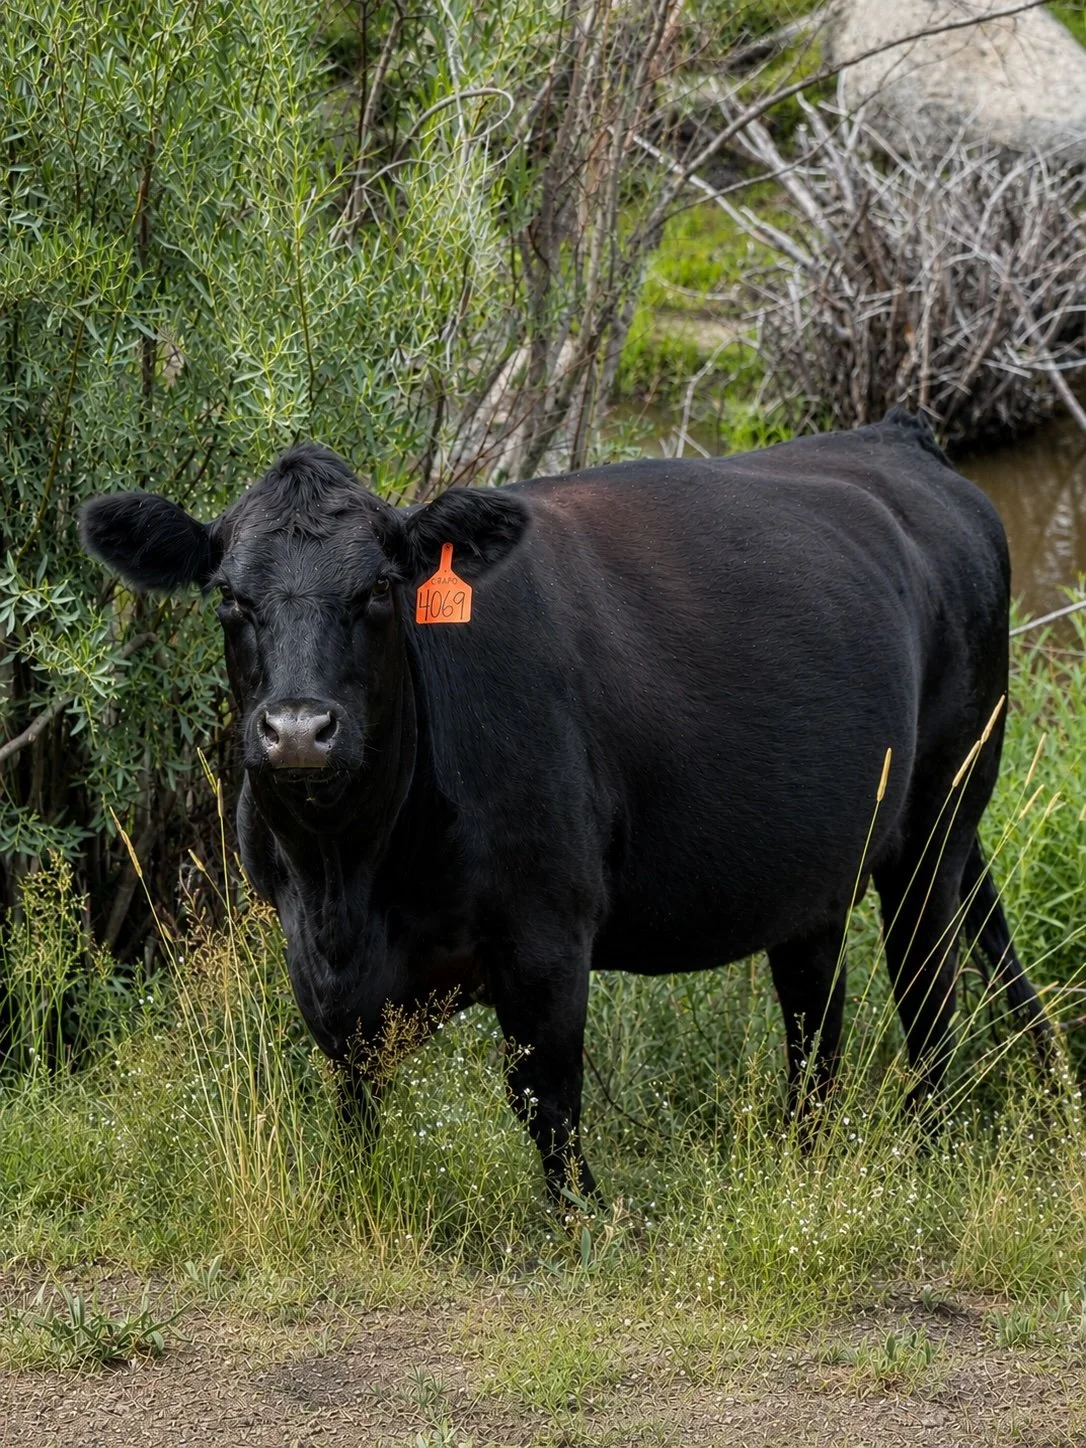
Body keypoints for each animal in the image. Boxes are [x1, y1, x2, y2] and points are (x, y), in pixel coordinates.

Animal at [79, 410, 1053, 1203]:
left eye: (380, 590)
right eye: (229, 598)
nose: (297, 731)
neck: (346, 877)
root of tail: (896, 436)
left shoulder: (547, 928)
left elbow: (545, 1095)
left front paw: (587, 1216)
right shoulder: (305, 948)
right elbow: (351, 1085)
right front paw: (354, 1187)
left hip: (938, 817)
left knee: (926, 995)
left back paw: (920, 1153)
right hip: (821, 858)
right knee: (817, 1008)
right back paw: (810, 1151)